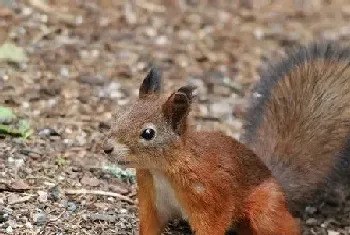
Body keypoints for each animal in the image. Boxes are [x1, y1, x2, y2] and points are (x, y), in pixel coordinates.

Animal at [102, 42, 350, 235]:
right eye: (119, 115)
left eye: (148, 133)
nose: (107, 148)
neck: (162, 170)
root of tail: (276, 181)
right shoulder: (152, 201)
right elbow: (151, 225)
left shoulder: (212, 197)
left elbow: (213, 224)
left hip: (264, 208)